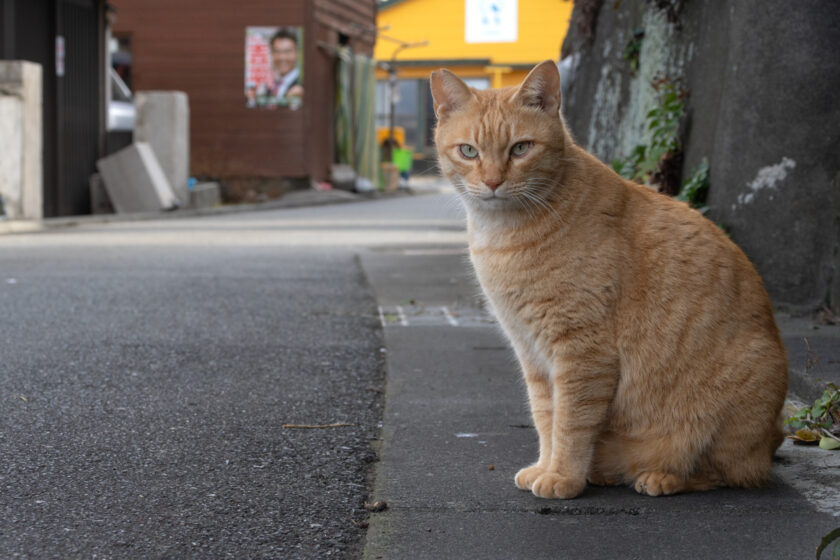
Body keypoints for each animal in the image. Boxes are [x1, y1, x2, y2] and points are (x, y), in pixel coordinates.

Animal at [430, 61, 792, 498]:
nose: (493, 182)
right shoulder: (532, 352)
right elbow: (546, 417)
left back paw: (660, 476)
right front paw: (546, 467)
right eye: (469, 151)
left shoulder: (582, 350)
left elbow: (571, 423)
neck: (501, 237)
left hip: (739, 397)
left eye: (520, 148)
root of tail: (773, 436)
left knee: (727, 471)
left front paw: (563, 477)